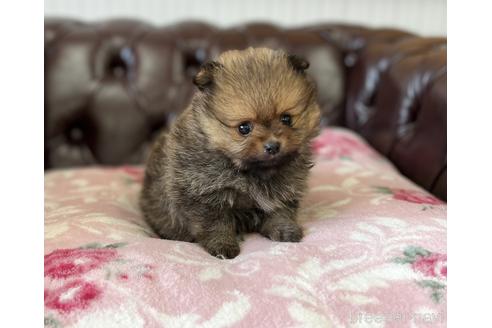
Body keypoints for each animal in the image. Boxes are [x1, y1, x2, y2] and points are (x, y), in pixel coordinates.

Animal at [140, 48, 320, 258]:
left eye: (287, 119)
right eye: (244, 128)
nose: (273, 146)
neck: (252, 173)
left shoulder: (285, 189)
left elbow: (280, 211)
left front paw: (286, 230)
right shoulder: (204, 195)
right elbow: (216, 224)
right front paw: (222, 246)